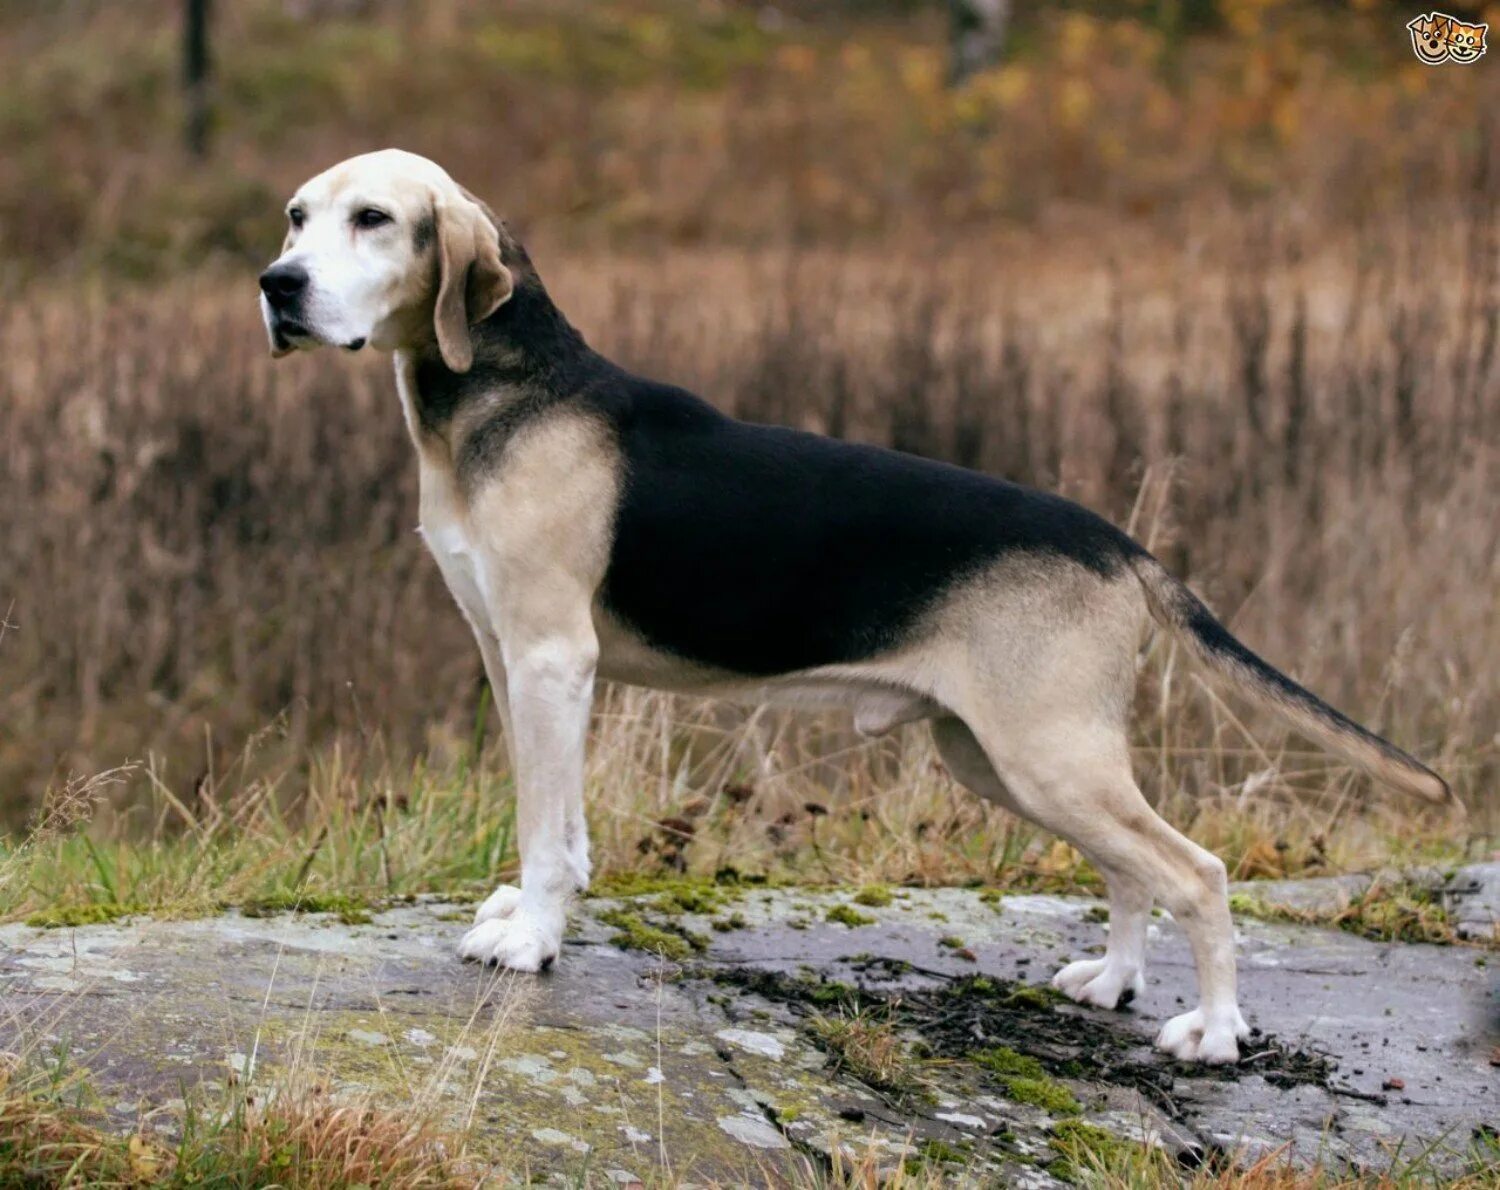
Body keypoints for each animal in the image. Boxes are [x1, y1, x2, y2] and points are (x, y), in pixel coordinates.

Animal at [261, 144, 1452, 1062]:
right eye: (297, 215)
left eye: (374, 220)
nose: (277, 284)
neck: (501, 390)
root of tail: (1121, 544)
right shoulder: (507, 658)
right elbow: (546, 818)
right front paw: (524, 908)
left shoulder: (554, 659)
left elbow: (552, 834)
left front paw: (533, 940)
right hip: (1006, 758)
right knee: (1130, 866)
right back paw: (1113, 979)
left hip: (1047, 756)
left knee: (1195, 872)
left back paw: (1211, 1030)